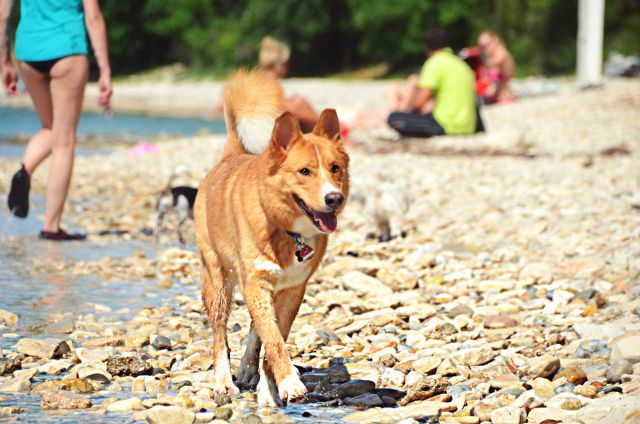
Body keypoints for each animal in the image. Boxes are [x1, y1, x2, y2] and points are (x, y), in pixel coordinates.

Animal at [195, 70, 350, 408]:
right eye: (304, 171)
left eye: (335, 168)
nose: (335, 199)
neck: (288, 231)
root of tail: (232, 153)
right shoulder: (255, 282)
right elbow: (273, 338)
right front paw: (290, 382)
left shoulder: (293, 289)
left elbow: (273, 335)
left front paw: (271, 386)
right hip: (218, 281)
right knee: (220, 336)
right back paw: (224, 382)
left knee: (256, 330)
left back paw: (250, 373)